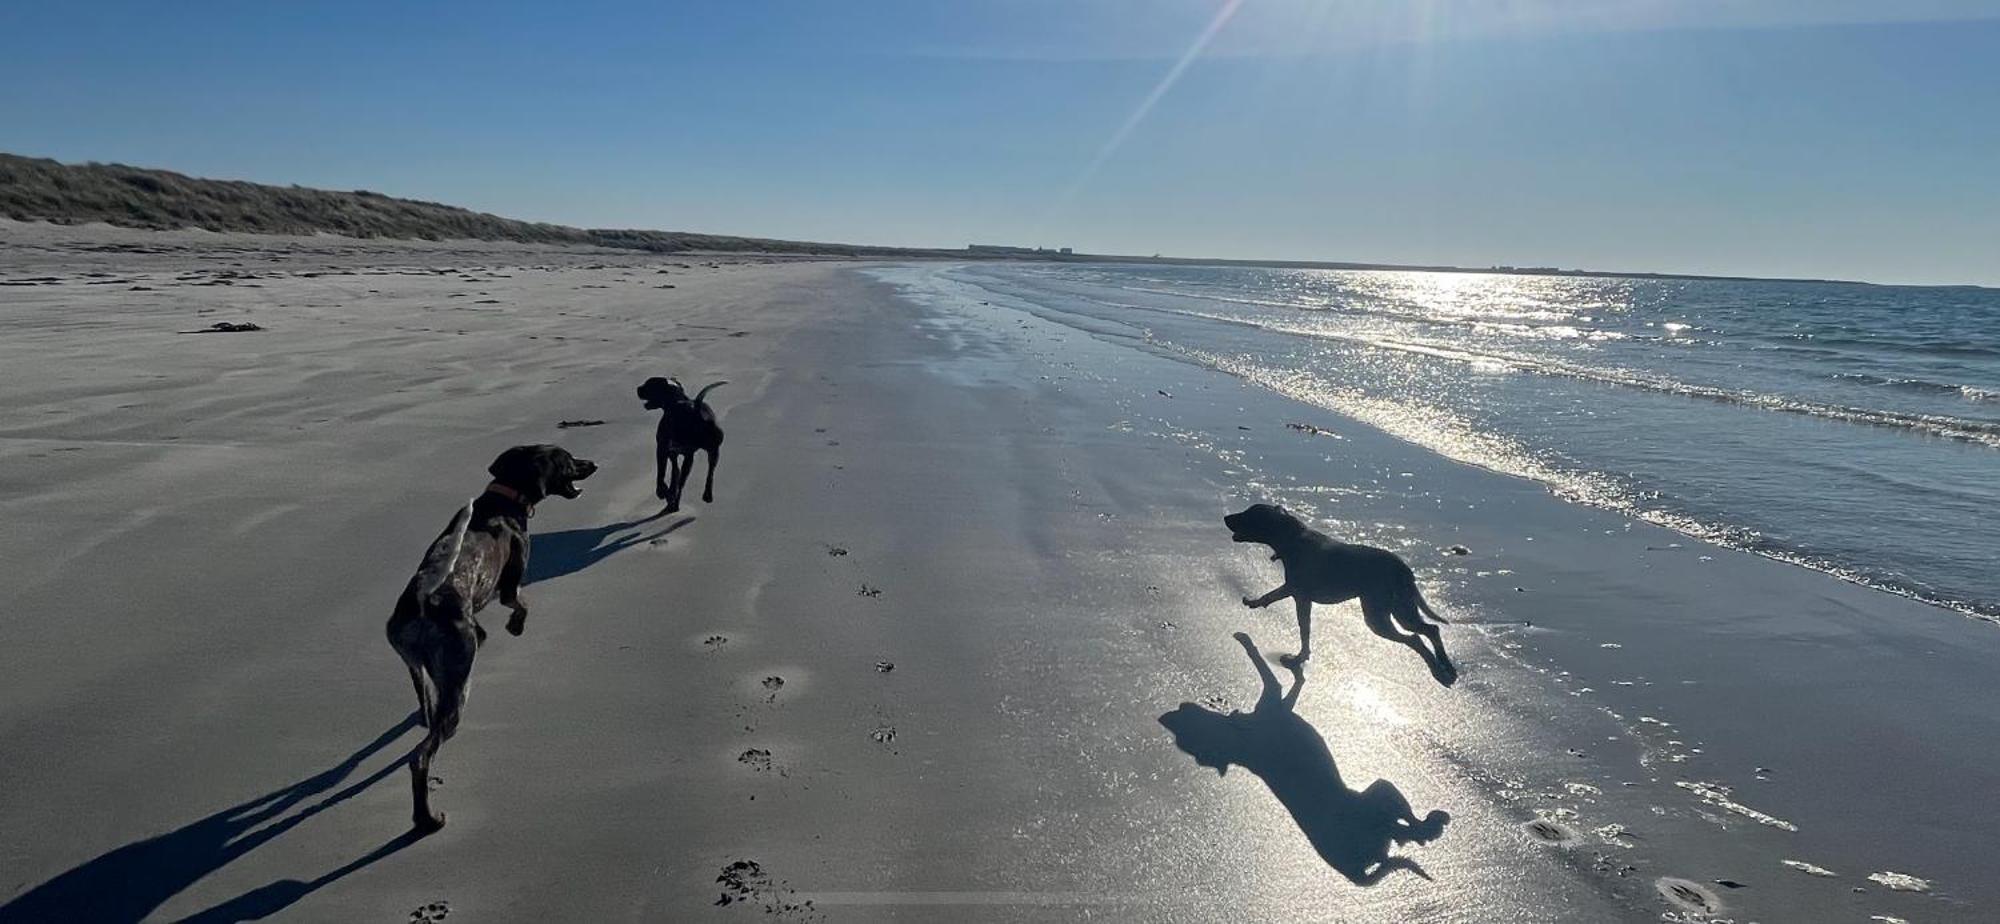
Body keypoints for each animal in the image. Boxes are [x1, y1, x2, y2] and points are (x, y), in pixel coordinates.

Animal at [384, 444, 592, 832]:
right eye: (568, 459)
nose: (593, 464)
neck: (503, 499)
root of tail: (422, 598)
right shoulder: (510, 585)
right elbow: (521, 604)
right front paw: (515, 627)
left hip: (415, 666)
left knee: (425, 705)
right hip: (457, 691)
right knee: (421, 756)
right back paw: (426, 819)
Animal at [632, 376, 728, 512]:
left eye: (649, 384)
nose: (638, 389)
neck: (676, 401)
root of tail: (696, 411)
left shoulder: (662, 449)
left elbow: (661, 474)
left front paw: (662, 492)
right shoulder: (677, 454)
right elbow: (675, 474)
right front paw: (670, 492)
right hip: (710, 452)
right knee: (707, 474)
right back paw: (704, 495)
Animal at [1216, 502, 1456, 684]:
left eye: (1248, 515)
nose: (1226, 517)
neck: (1292, 538)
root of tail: (1403, 567)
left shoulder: (1298, 594)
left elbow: (1296, 622)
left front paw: (1297, 658)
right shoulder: (1298, 594)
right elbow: (1283, 609)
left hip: (1379, 617)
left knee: (1418, 637)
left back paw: (1438, 669)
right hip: (1399, 608)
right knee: (1429, 630)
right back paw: (1446, 666)